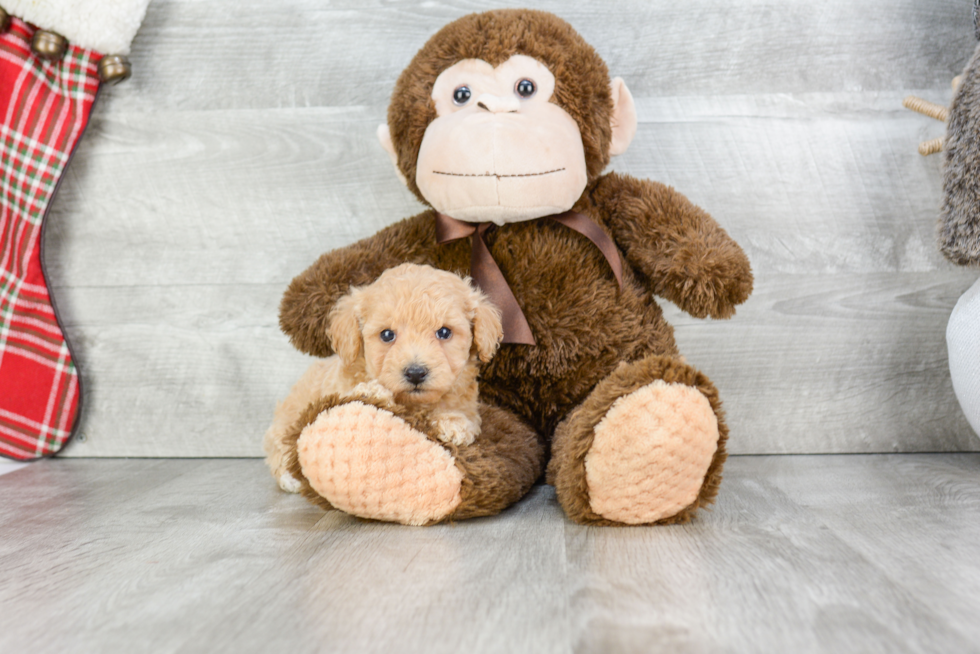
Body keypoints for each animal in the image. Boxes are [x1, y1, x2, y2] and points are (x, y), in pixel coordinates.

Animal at [262, 262, 502, 492]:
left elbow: (463, 415)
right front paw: (371, 391)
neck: (413, 404)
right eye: (387, 335)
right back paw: (290, 478)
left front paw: (453, 423)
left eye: (444, 332)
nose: (416, 372)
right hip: (285, 422)